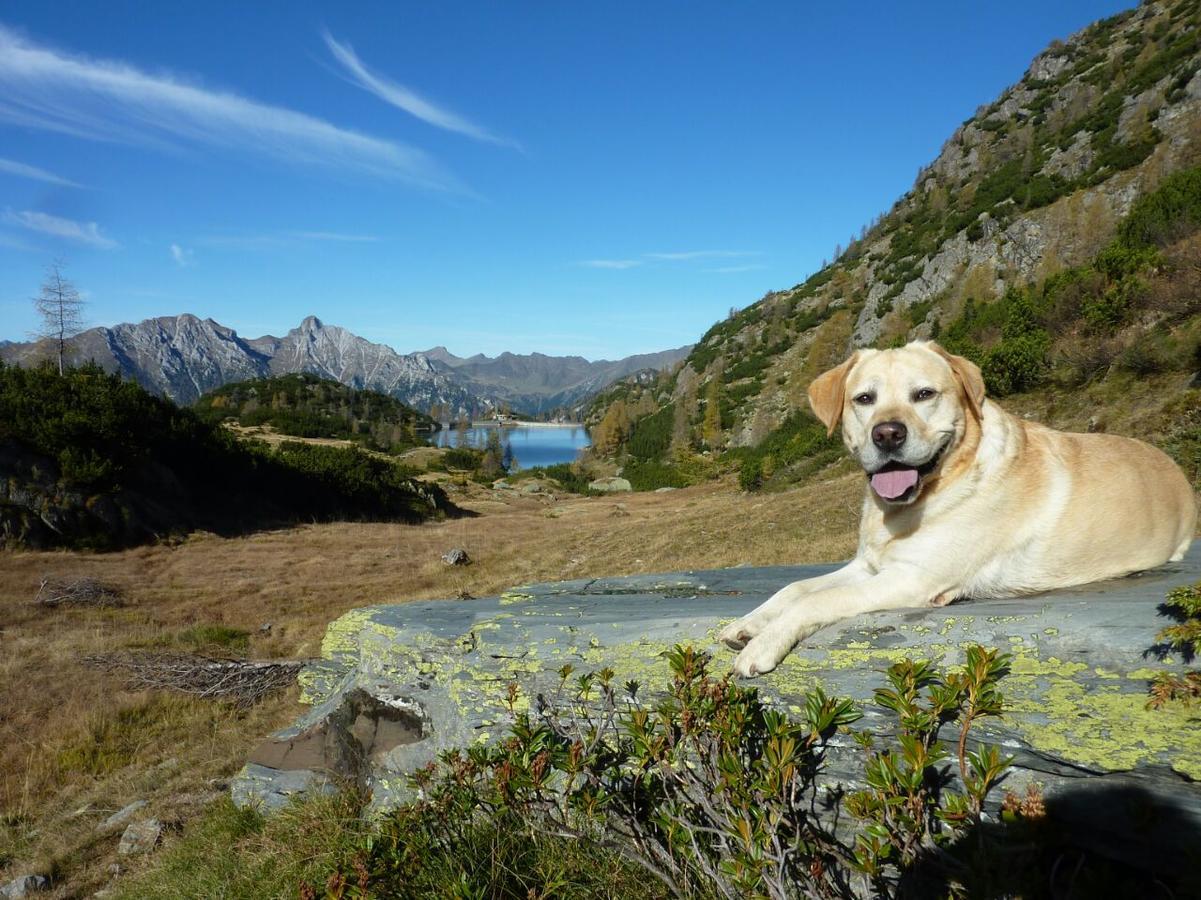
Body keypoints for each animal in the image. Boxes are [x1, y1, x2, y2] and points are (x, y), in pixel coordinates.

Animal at [715, 341, 1196, 672]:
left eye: (925, 394)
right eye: (864, 399)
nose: (887, 434)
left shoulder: (911, 579)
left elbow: (814, 601)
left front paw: (764, 644)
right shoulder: (866, 566)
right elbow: (794, 589)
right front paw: (747, 624)